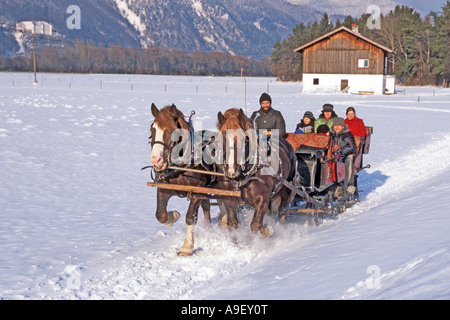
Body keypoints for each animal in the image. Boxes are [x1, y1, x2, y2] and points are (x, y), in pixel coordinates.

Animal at [149, 104, 210, 256]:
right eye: (152, 129)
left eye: (172, 131)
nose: (156, 160)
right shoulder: (164, 187)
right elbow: (160, 214)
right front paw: (174, 216)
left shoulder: (197, 192)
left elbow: (190, 218)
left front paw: (187, 247)